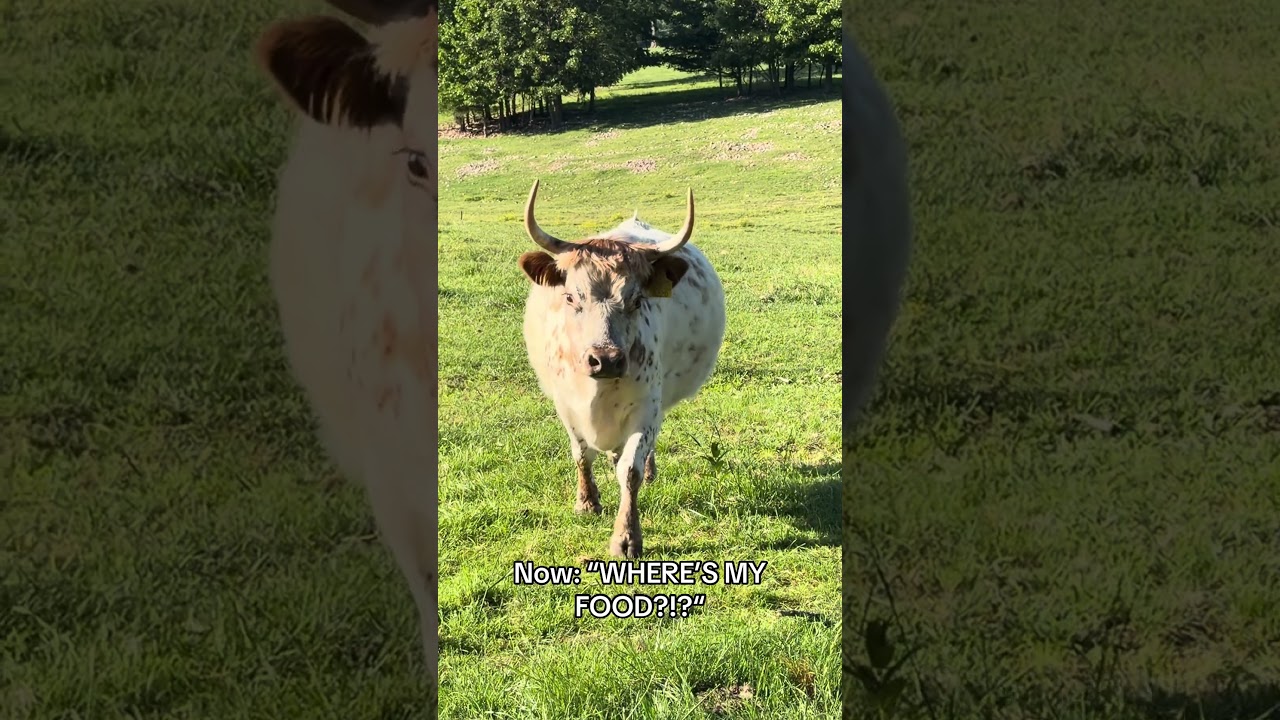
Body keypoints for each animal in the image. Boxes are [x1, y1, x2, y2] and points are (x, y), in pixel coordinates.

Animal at [517, 180, 727, 559]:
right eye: (571, 297)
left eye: (636, 300)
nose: (606, 359)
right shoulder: (565, 405)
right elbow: (581, 454)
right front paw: (587, 503)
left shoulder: (646, 408)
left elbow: (629, 470)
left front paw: (626, 537)